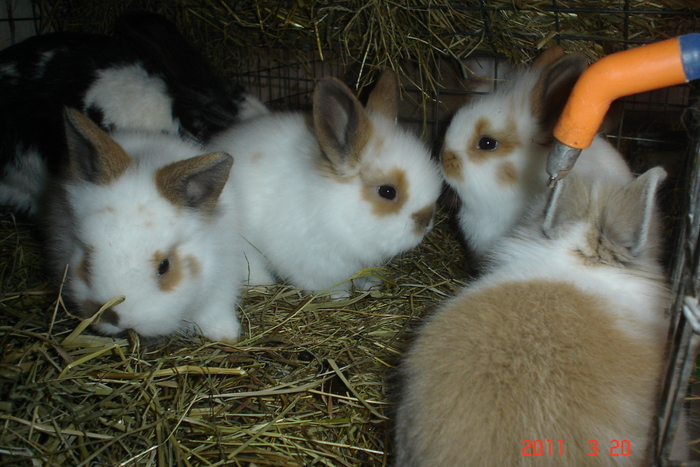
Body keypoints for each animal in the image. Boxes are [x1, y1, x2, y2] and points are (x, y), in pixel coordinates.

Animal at [208, 70, 446, 292]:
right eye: (388, 192)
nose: (425, 222)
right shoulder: (312, 262)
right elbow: (325, 285)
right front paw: (340, 297)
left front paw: (369, 284)